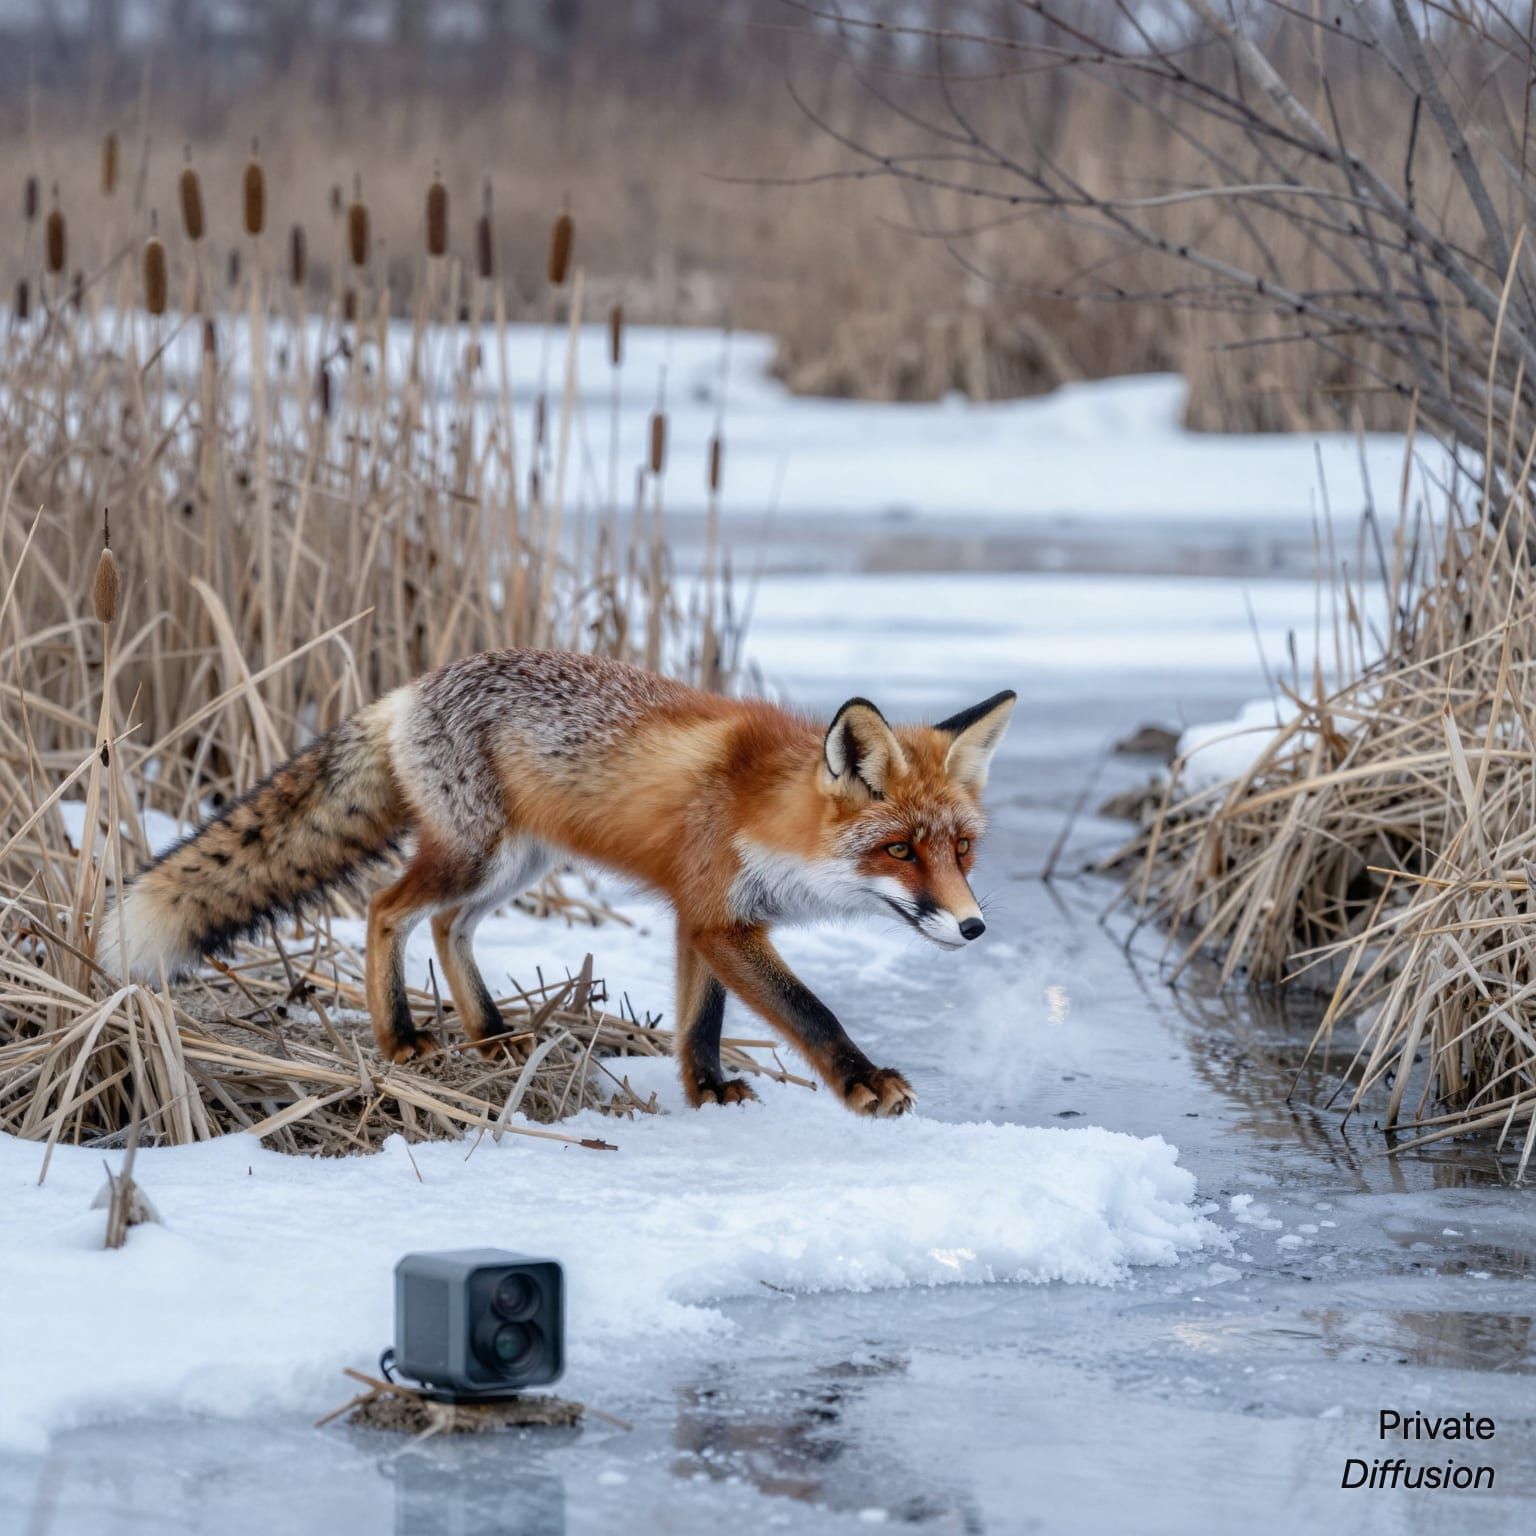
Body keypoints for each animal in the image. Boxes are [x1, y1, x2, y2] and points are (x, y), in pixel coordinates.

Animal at [98, 650, 1014, 1117]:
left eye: (963, 851)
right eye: (900, 849)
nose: (974, 927)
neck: (765, 816)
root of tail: (412, 688)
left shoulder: (703, 918)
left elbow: (701, 1021)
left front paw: (706, 1090)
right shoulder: (720, 916)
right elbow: (808, 1009)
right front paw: (862, 1082)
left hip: (516, 865)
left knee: (449, 927)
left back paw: (491, 1034)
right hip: (475, 856)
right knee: (387, 909)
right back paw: (403, 1039)